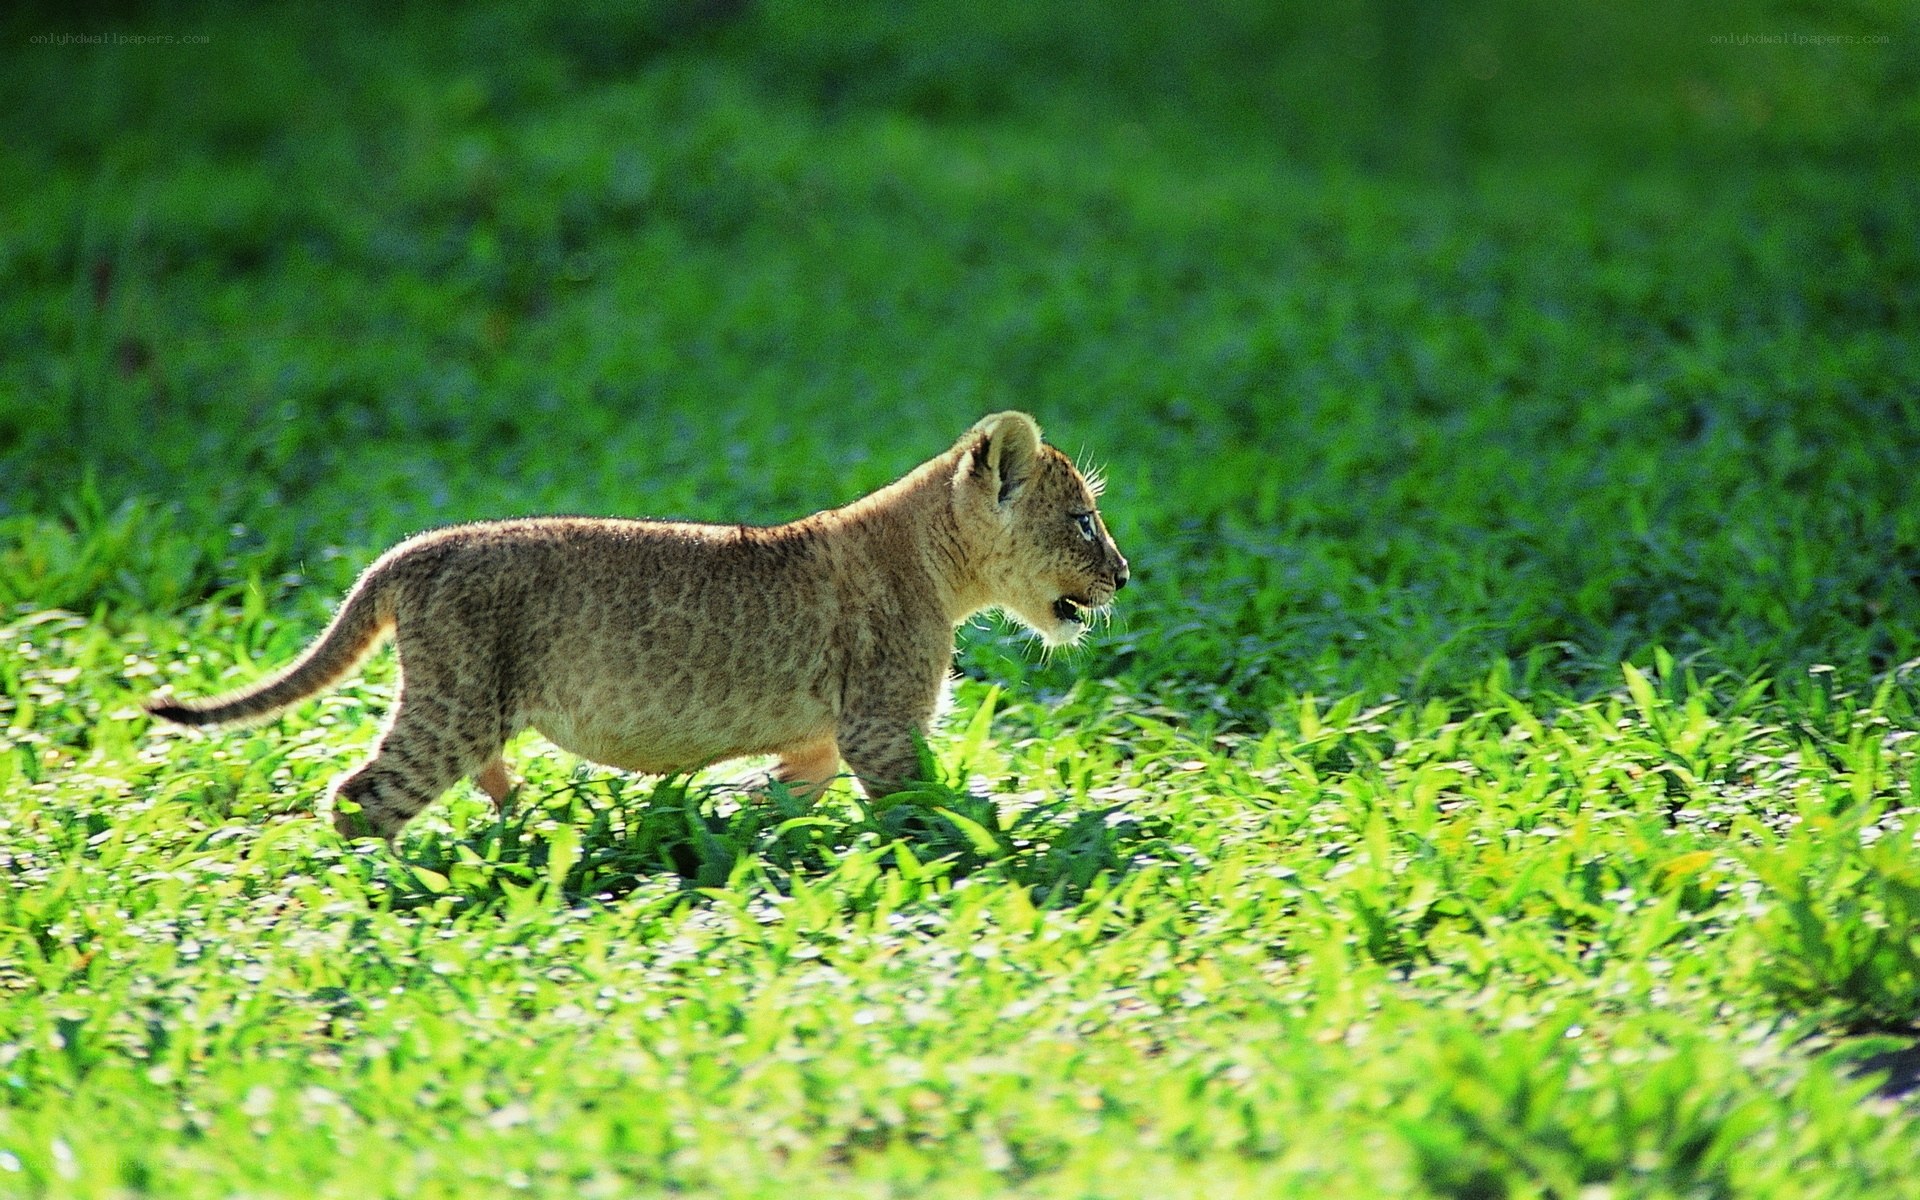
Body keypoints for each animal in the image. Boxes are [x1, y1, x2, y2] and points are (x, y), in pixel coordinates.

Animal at [144, 411, 1129, 840]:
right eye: (1083, 520)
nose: (1123, 575)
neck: (935, 560)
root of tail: (413, 550)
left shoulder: (822, 742)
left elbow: (782, 792)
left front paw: (733, 829)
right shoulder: (881, 728)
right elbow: (936, 801)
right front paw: (1010, 828)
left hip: (469, 707)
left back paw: (516, 824)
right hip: (452, 706)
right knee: (362, 799)